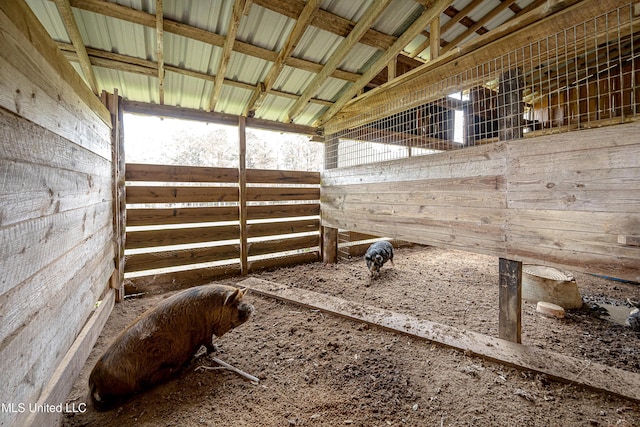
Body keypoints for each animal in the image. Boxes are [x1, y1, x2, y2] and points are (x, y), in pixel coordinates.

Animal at [88, 284, 252, 412]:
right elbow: (209, 343)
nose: (251, 306)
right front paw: (217, 350)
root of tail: (93, 379)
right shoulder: (204, 332)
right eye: (237, 302)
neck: (210, 311)